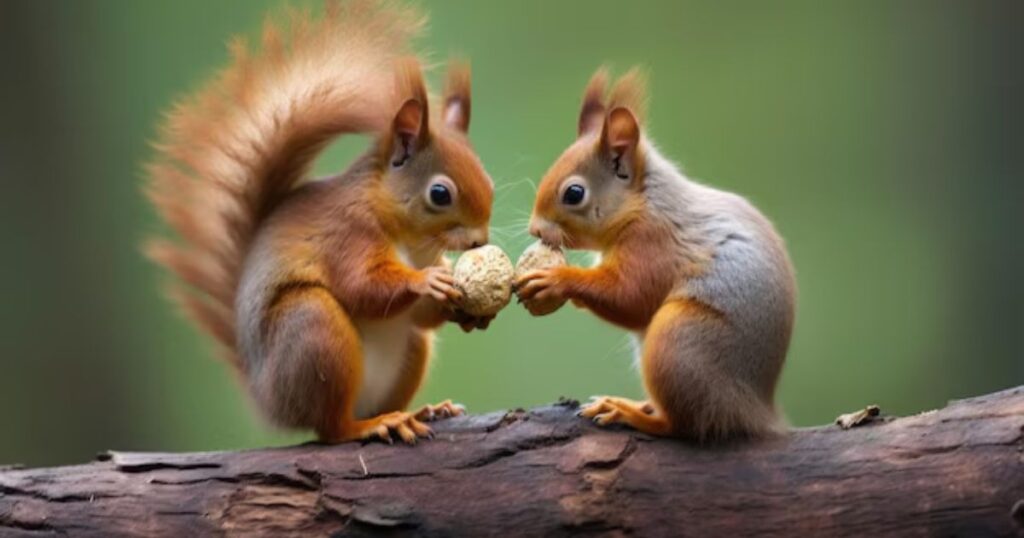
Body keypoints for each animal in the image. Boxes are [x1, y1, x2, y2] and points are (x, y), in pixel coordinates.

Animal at [146, 2, 495, 444]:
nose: (480, 241)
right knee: (332, 427)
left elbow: (420, 316)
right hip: (314, 330)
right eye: (440, 194)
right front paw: (425, 281)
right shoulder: (347, 235)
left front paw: (469, 312)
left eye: (489, 182)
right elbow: (361, 286)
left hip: (409, 351)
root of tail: (267, 398)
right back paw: (374, 424)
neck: (412, 241)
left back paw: (423, 411)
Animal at [516, 68, 796, 441]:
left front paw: (556, 279)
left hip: (678, 342)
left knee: (681, 424)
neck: (642, 206)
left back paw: (629, 413)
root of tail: (755, 412)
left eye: (574, 193)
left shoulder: (654, 244)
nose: (535, 230)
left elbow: (632, 296)